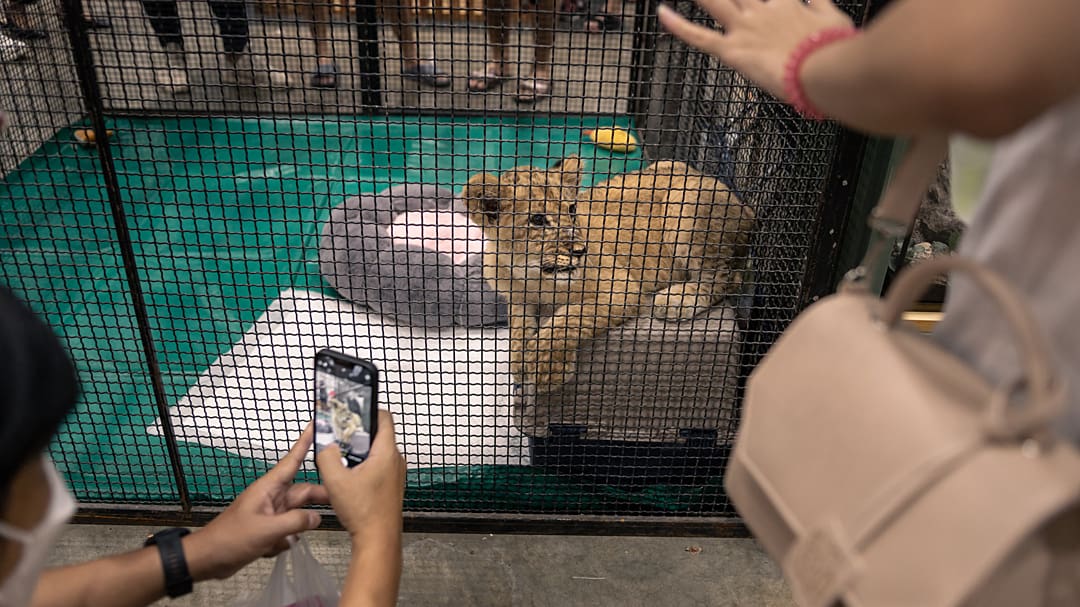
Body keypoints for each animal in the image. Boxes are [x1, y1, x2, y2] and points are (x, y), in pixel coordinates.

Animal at [462, 155, 756, 393]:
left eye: (571, 210)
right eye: (537, 220)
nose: (580, 251)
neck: (535, 276)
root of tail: (746, 207)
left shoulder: (621, 287)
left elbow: (569, 317)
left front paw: (546, 369)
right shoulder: (518, 298)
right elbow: (518, 330)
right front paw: (521, 361)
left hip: (687, 206)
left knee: (726, 276)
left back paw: (676, 300)